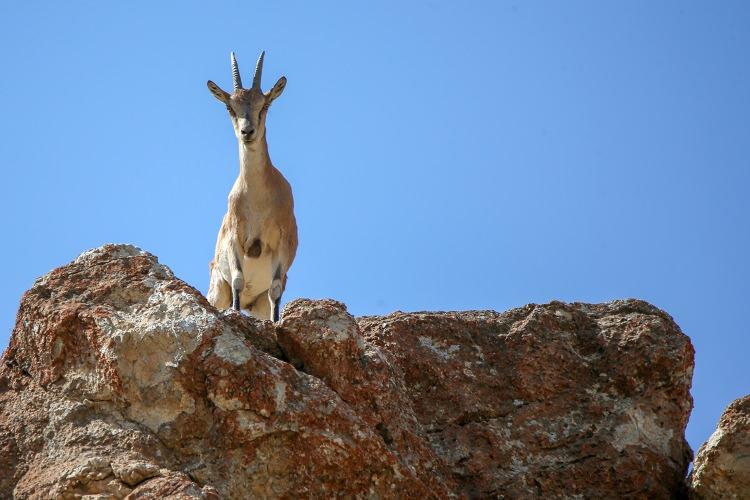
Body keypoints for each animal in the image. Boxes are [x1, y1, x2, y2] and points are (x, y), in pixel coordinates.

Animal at [209, 51, 300, 324]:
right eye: (230, 107)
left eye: (265, 105)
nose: (246, 131)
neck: (258, 200)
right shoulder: (235, 240)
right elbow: (238, 280)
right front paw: (235, 313)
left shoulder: (282, 245)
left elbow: (275, 290)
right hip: (217, 288)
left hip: (257, 302)